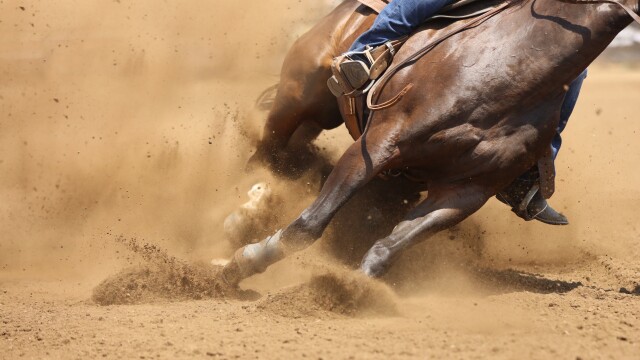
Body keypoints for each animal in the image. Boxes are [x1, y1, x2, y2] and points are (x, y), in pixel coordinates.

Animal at [221, 0, 640, 284]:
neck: (513, 65)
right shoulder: (378, 146)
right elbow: (310, 224)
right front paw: (244, 262)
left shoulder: (466, 191)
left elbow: (389, 248)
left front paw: (354, 289)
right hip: (297, 102)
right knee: (268, 156)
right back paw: (242, 213)